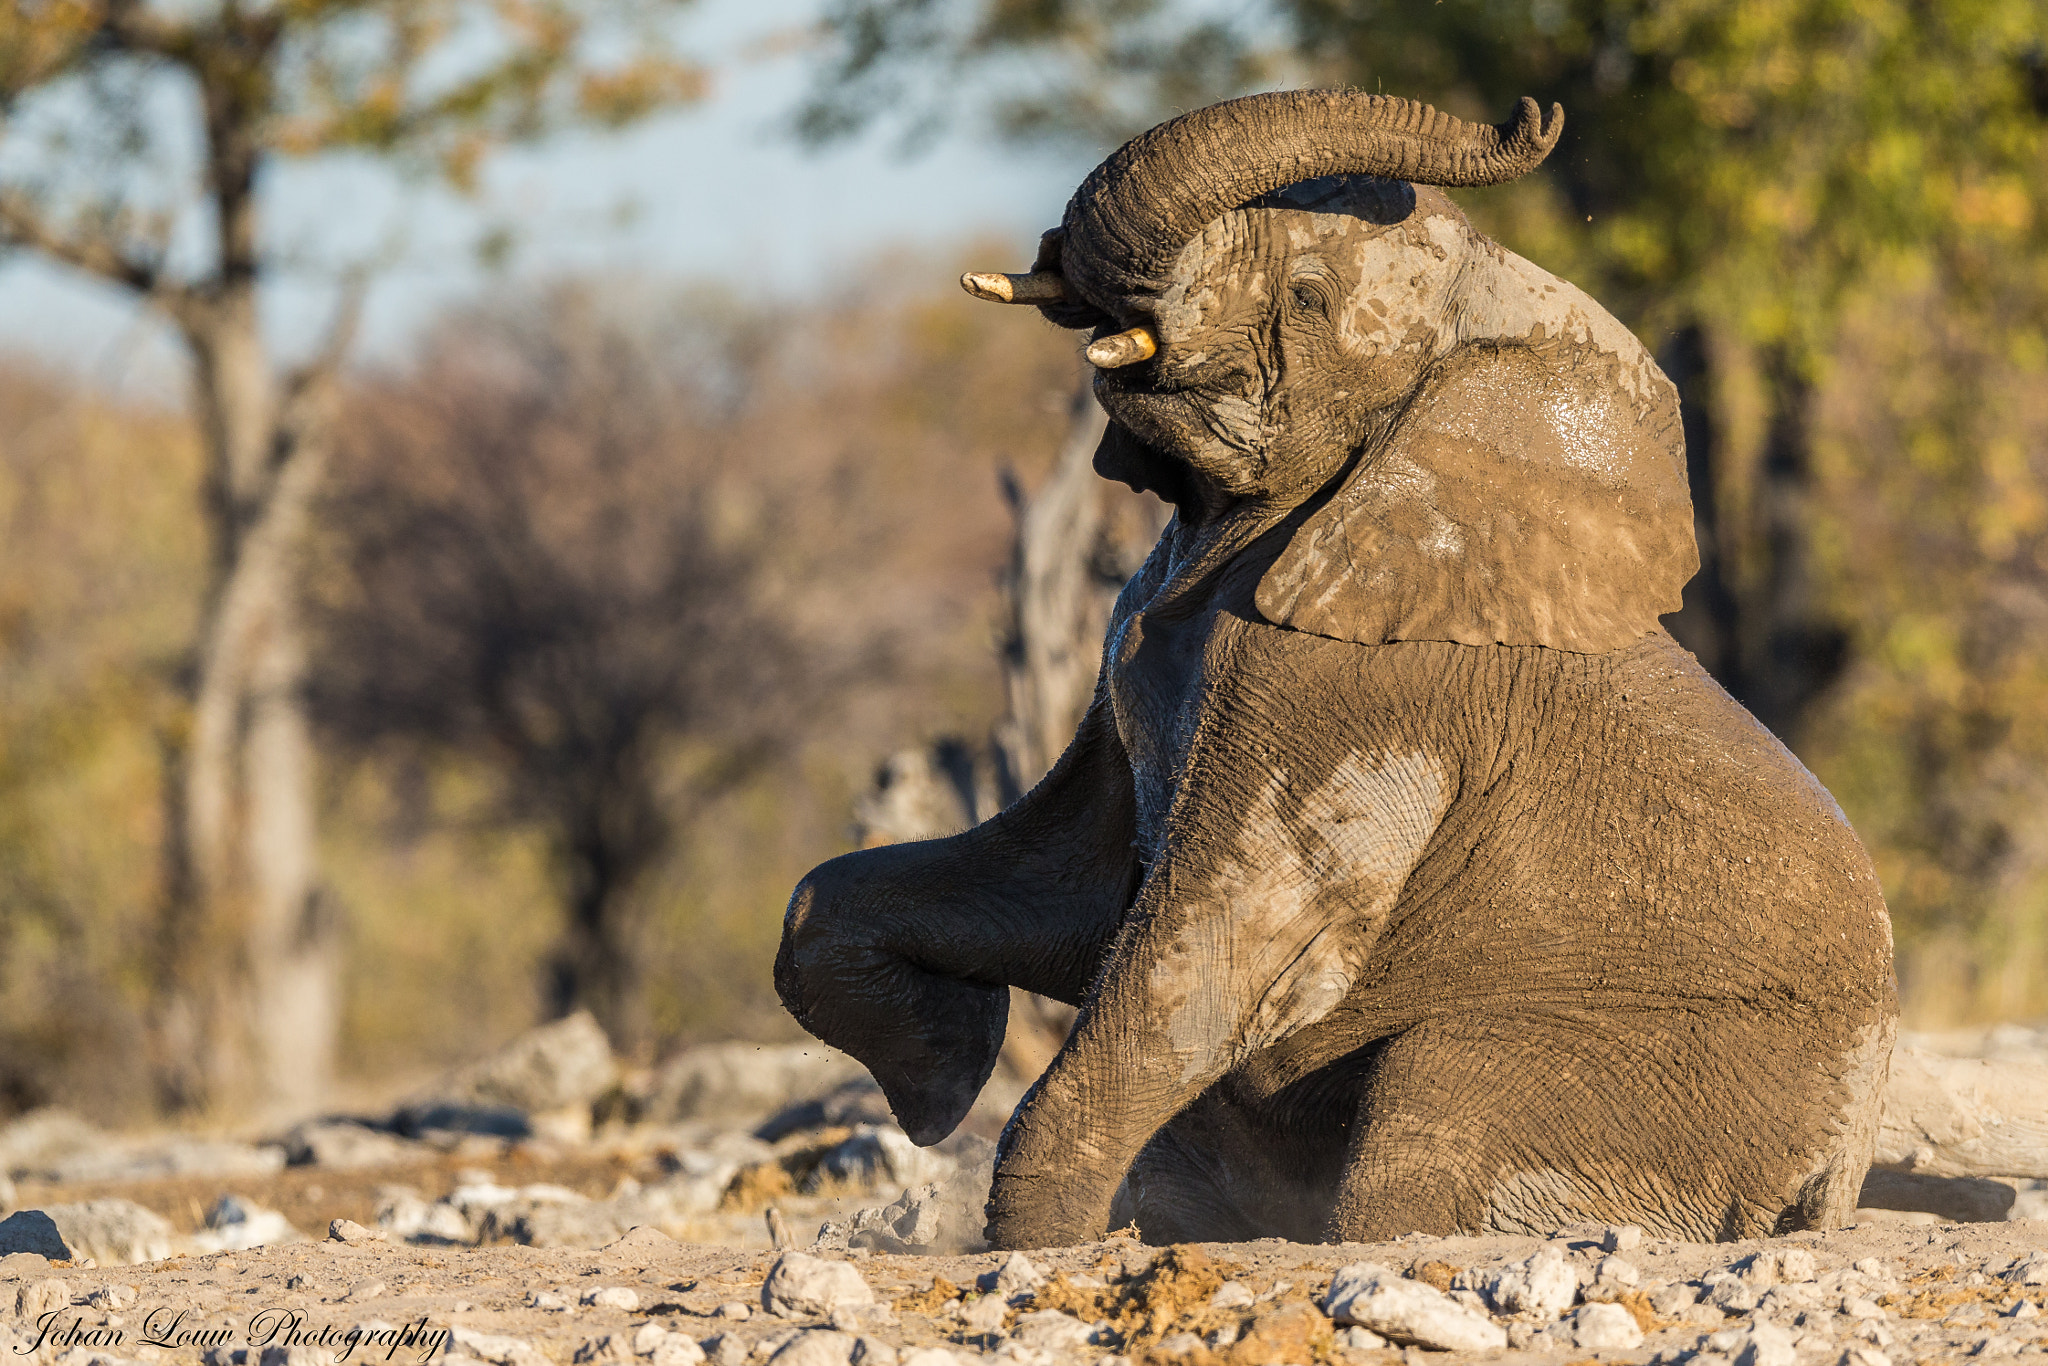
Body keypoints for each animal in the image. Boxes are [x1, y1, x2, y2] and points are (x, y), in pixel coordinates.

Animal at [774, 90, 1892, 1253]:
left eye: (1307, 299)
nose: (1529, 119)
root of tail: (1833, 1189)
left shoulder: (1352, 686)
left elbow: (1225, 942)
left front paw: (1033, 1236)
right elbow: (1038, 889)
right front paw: (937, 1079)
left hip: (1681, 1086)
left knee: (1428, 1110)